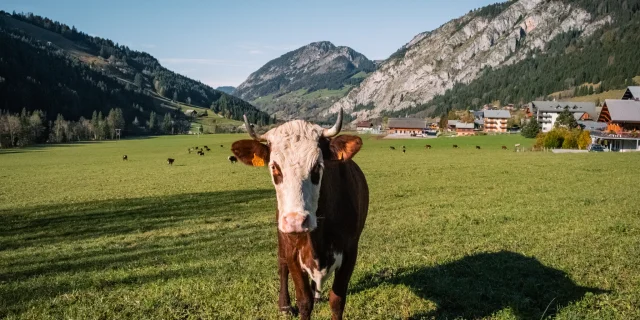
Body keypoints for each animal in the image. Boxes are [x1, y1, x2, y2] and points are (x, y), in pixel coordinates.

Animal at [231, 109, 370, 318]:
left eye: (318, 166)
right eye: (274, 167)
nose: (296, 221)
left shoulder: (350, 252)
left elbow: (337, 301)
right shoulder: (292, 253)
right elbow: (304, 301)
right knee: (281, 265)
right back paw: (285, 305)